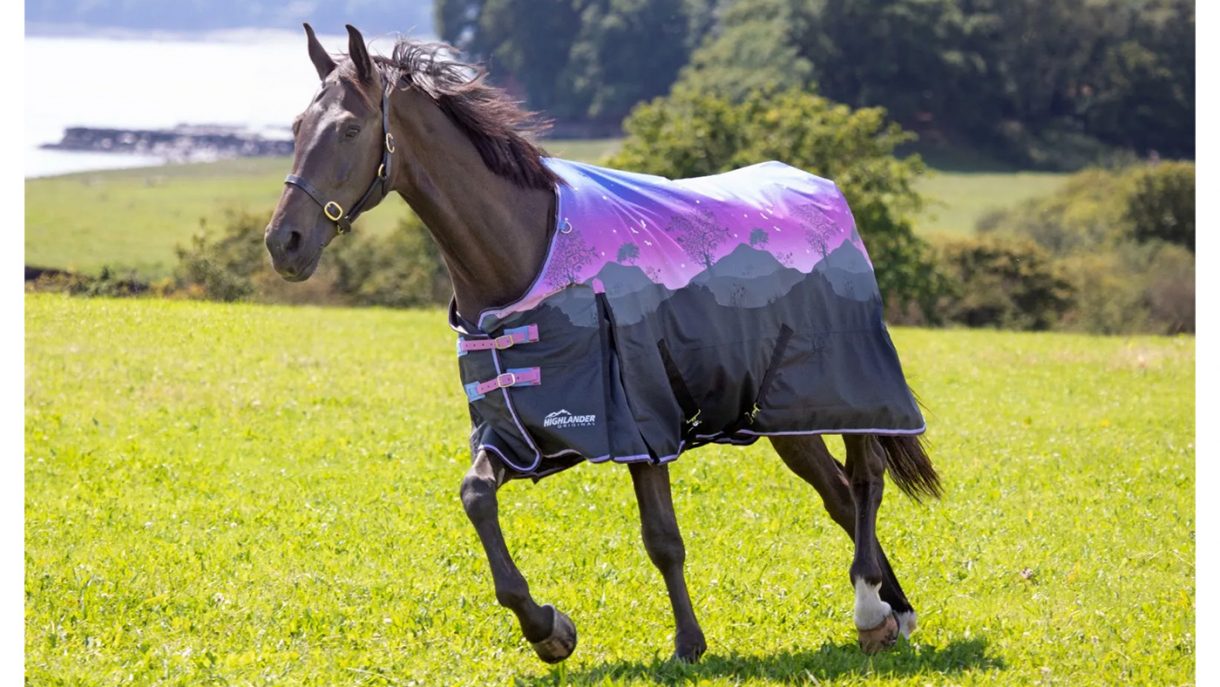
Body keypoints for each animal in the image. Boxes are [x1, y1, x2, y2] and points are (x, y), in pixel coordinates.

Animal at [265, 24, 942, 664]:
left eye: (351, 129)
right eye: (297, 127)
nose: (284, 242)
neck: (523, 257)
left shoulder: (642, 423)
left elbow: (662, 539)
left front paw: (688, 644)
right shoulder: (520, 435)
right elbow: (476, 497)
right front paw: (548, 631)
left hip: (846, 392)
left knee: (866, 481)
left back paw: (870, 608)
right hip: (782, 418)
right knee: (838, 495)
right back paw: (894, 612)